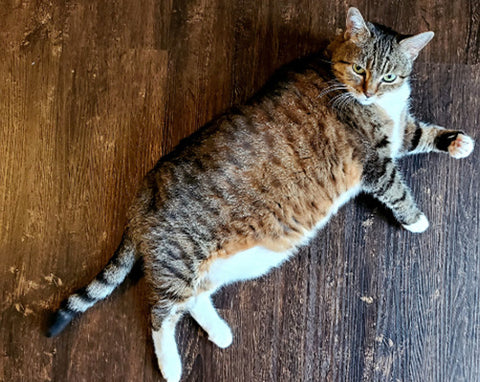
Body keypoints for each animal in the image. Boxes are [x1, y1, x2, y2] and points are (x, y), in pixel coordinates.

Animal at [47, 6, 474, 382]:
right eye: (359, 69)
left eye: (388, 76)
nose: (368, 92)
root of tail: (140, 195)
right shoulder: (374, 161)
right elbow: (396, 189)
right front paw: (417, 221)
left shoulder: (399, 133)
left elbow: (420, 133)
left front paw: (457, 142)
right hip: (181, 257)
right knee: (160, 312)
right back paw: (170, 367)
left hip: (231, 263)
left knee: (195, 298)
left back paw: (219, 333)